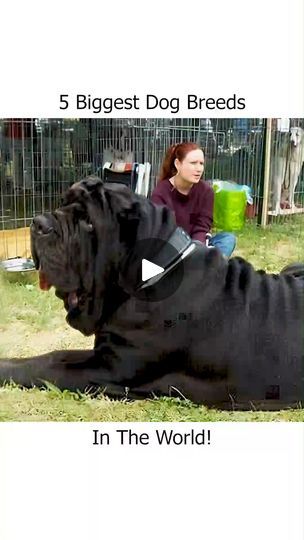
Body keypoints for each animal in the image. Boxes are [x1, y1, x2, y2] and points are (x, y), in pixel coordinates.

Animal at [0, 177, 304, 410]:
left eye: (88, 223)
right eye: (63, 203)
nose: (39, 223)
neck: (152, 274)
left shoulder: (109, 369)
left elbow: (45, 367)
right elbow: (55, 355)